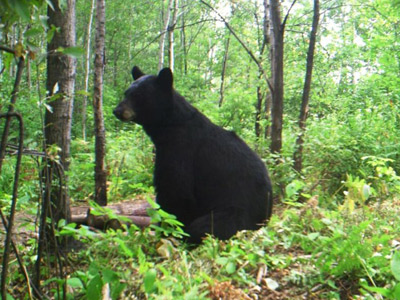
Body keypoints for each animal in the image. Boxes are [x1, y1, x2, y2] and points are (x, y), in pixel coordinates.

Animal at [114, 67, 274, 243]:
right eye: (126, 92)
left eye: (138, 95)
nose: (117, 111)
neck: (169, 127)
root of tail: (266, 216)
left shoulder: (181, 150)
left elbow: (176, 190)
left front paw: (167, 231)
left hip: (236, 211)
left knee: (205, 226)